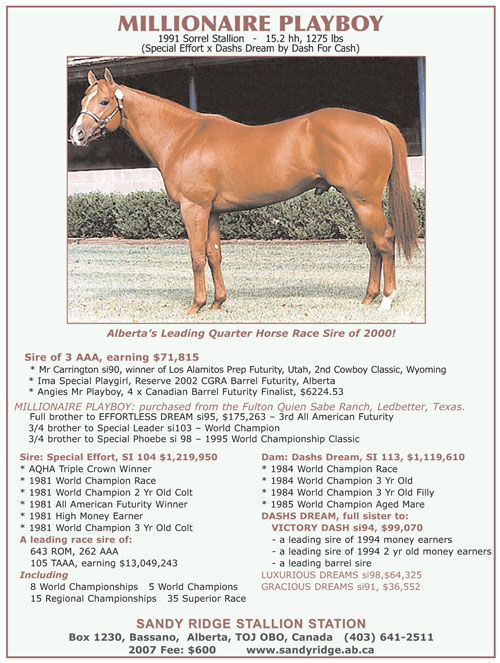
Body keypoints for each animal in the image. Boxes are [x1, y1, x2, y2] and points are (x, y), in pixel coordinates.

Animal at [70, 68, 419, 315]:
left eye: (104, 101)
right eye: (83, 100)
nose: (77, 134)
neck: (183, 138)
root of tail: (376, 121)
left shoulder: (193, 208)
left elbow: (196, 256)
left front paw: (196, 305)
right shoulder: (211, 211)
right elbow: (214, 255)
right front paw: (217, 302)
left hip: (364, 200)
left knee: (384, 241)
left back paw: (387, 299)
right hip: (358, 201)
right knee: (373, 246)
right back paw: (368, 297)